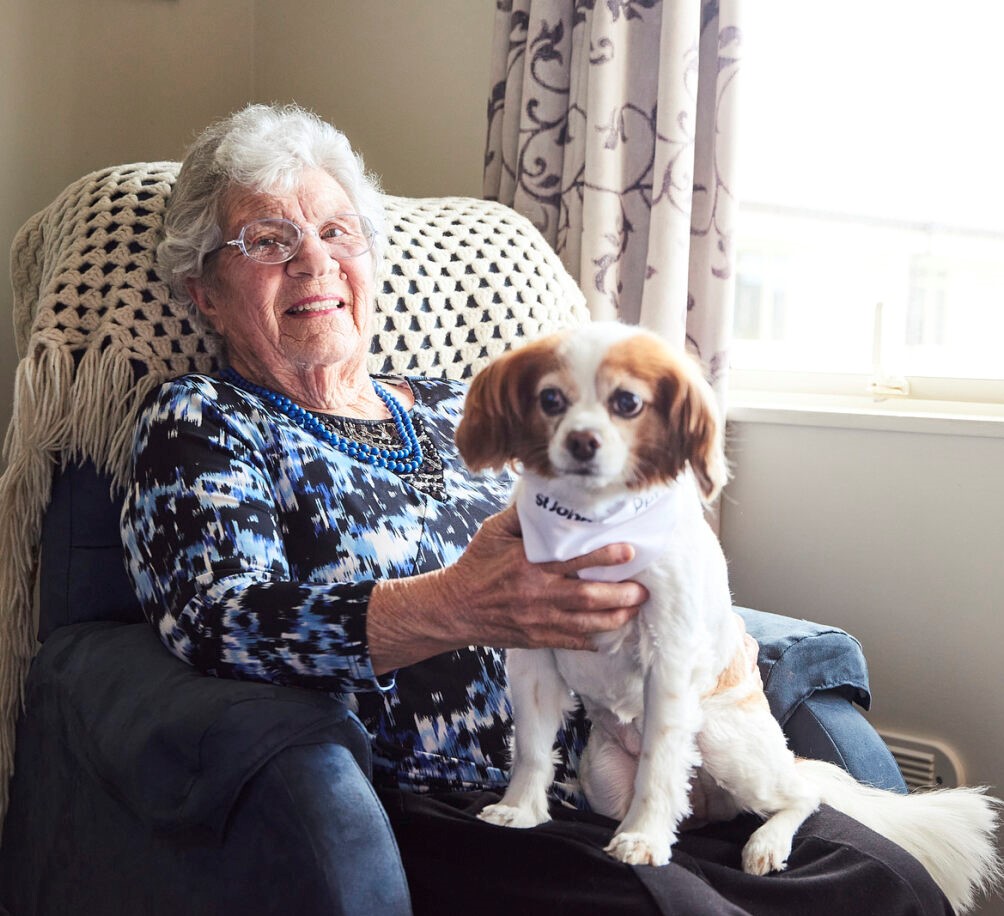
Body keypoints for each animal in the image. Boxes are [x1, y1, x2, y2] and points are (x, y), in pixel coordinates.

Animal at [459, 319, 999, 907]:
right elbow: (532, 749)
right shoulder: (533, 655)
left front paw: (643, 840)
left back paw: (764, 843)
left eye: (628, 402)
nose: (583, 442)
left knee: (802, 794)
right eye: (550, 399)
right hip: (602, 775)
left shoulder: (669, 662)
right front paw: (520, 810)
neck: (593, 525)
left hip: (724, 743)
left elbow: (659, 766)